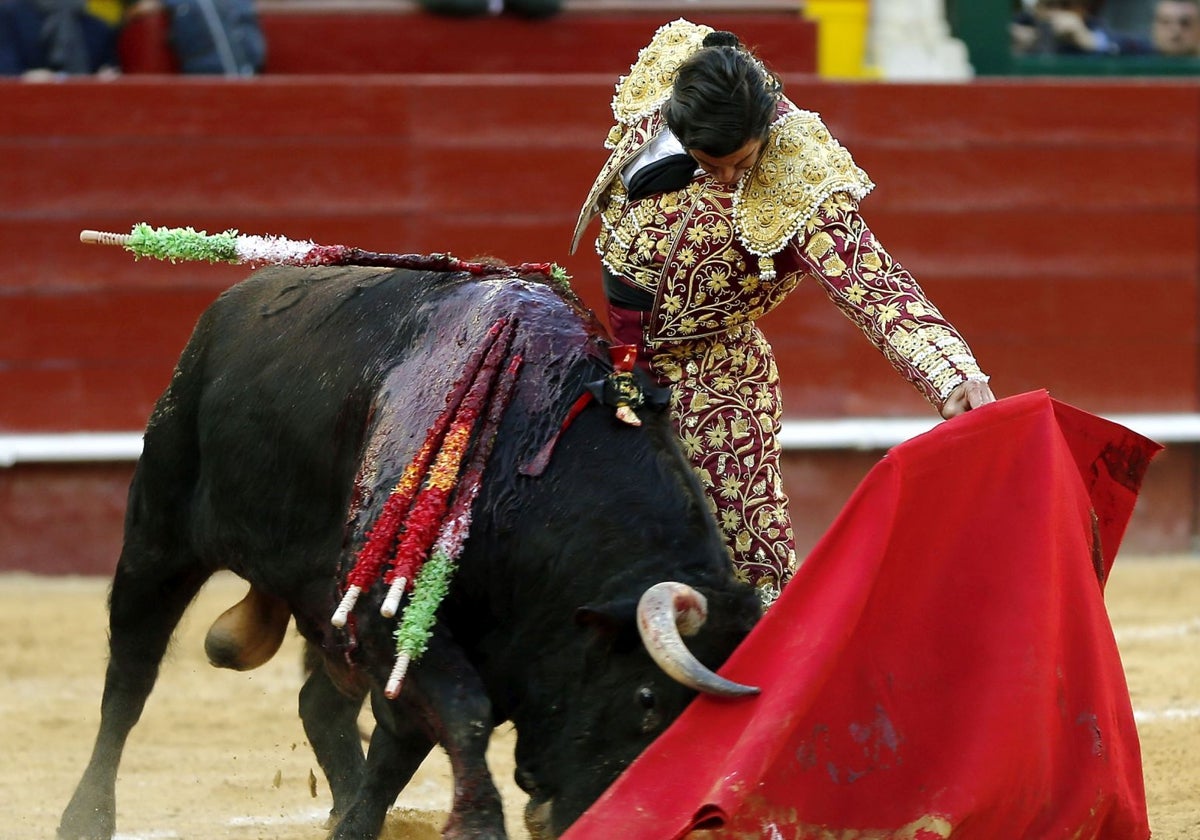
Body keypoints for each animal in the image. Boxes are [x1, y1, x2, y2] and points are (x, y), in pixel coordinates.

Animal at [58, 267, 758, 840]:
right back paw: (86, 818)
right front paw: (476, 827)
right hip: (159, 538)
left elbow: (403, 743)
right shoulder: (387, 611)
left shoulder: (399, 631)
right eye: (646, 701)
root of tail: (229, 305)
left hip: (320, 603)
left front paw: (360, 824)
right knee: (130, 678)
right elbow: (464, 715)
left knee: (320, 704)